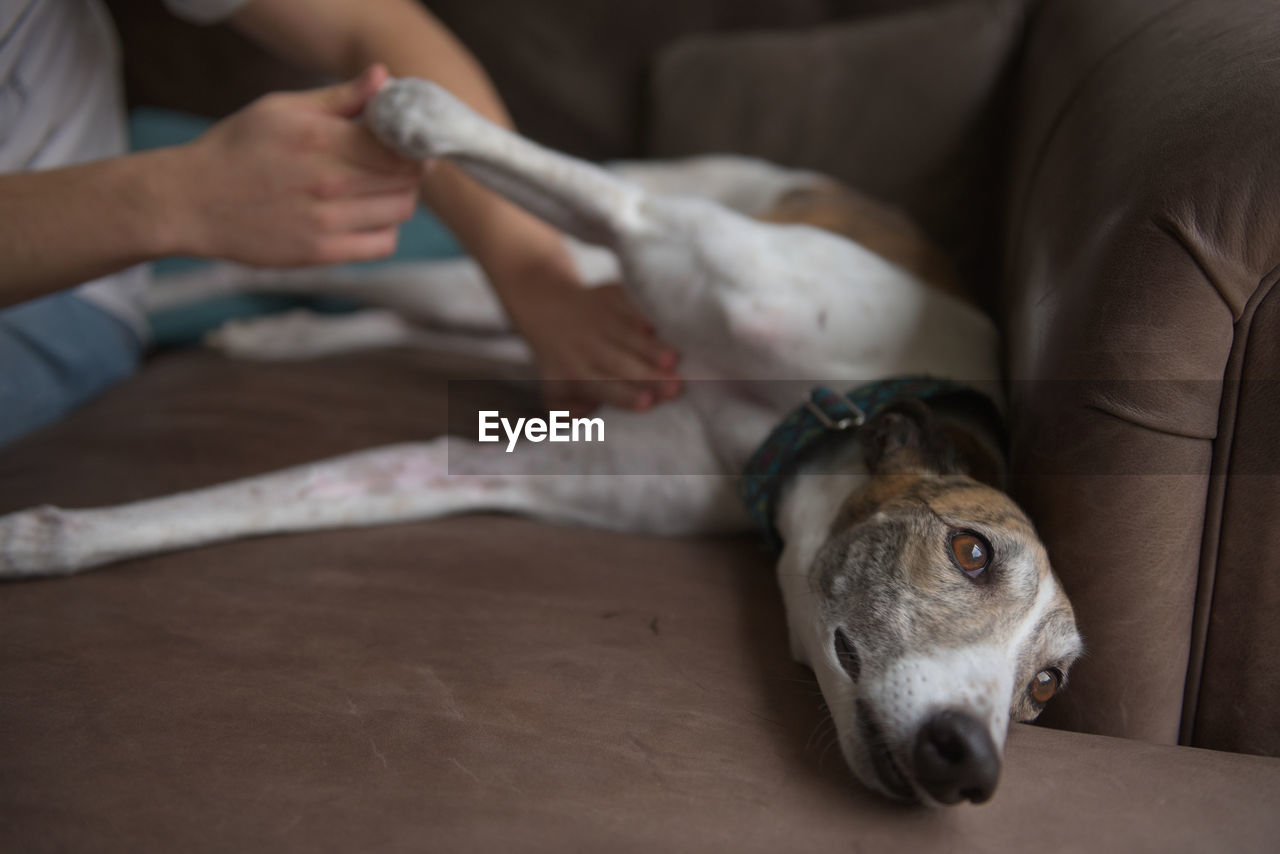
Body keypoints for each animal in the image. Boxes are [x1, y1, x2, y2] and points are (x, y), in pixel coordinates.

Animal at [0, 80, 1080, 809]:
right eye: (970, 552)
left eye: (1046, 686)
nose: (970, 762)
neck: (824, 413)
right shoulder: (655, 231)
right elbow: (559, 177)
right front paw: (412, 110)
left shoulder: (504, 467)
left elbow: (280, 495)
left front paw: (48, 535)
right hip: (570, 258)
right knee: (296, 263)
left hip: (537, 306)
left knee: (416, 316)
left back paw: (279, 336)